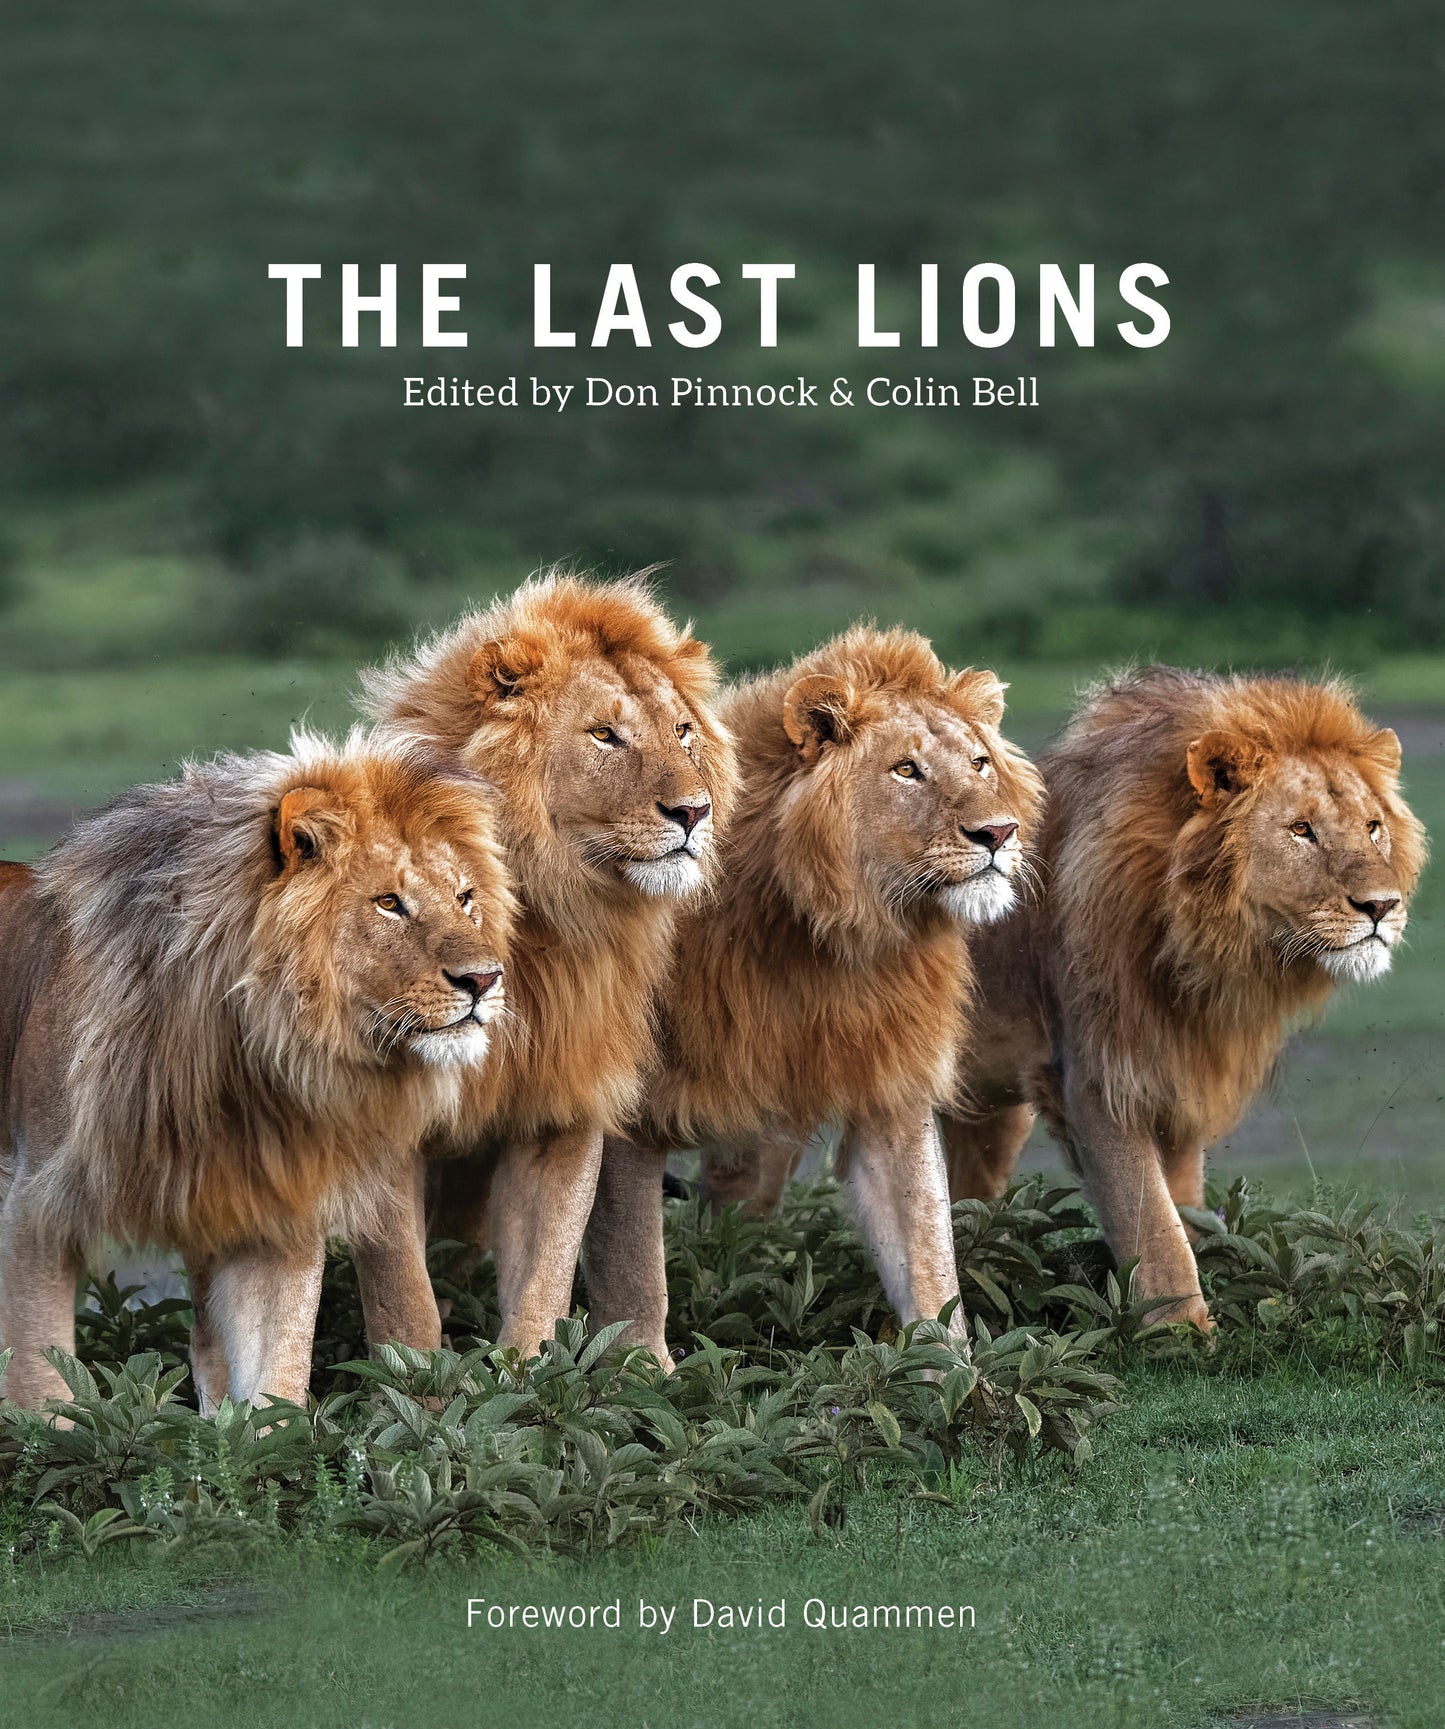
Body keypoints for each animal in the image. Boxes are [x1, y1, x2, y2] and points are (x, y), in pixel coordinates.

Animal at [0, 732, 513, 1411]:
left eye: (464, 898)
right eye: (389, 903)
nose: (485, 979)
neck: (246, 1059)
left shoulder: (271, 1206)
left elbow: (274, 1379)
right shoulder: (36, 1207)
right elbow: (41, 1390)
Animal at [343, 572, 738, 1358]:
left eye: (683, 732)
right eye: (604, 734)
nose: (694, 812)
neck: (547, 913)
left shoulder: (562, 1101)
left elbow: (546, 1270)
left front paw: (526, 1374)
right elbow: (402, 1289)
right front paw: (414, 1381)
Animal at [580, 625, 1045, 1362]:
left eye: (979, 763)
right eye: (906, 771)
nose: (999, 833)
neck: (827, 938)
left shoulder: (889, 1085)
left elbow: (927, 1250)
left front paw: (954, 1373)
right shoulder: (621, 1106)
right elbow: (632, 1262)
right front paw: (640, 1369)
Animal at [940, 667, 1427, 1330]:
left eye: (1373, 827)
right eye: (1301, 830)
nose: (1382, 906)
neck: (1205, 952)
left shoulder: (1180, 1072)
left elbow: (1187, 1207)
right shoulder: (1098, 1077)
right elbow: (1153, 1225)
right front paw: (1182, 1334)